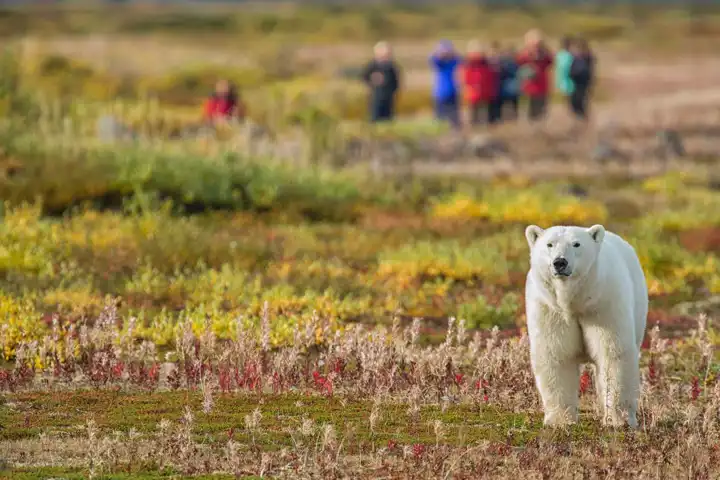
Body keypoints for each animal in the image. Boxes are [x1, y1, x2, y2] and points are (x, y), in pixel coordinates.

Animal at [524, 224, 648, 428]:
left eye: (576, 244)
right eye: (549, 244)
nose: (560, 262)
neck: (575, 302)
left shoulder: (604, 304)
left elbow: (613, 353)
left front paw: (618, 419)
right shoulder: (550, 309)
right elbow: (556, 354)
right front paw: (560, 420)